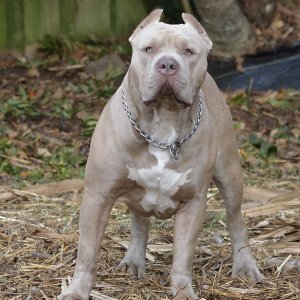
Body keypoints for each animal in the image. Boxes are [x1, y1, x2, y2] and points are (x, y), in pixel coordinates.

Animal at [58, 9, 260, 300]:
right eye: (149, 49)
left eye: (188, 51)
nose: (167, 64)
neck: (163, 123)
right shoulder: (98, 195)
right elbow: (87, 251)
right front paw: (77, 290)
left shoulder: (193, 202)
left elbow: (183, 256)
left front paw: (183, 291)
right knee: (139, 221)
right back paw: (133, 261)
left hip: (230, 173)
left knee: (235, 219)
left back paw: (245, 265)